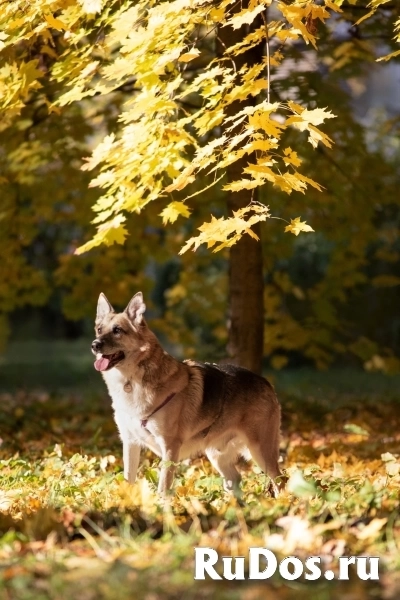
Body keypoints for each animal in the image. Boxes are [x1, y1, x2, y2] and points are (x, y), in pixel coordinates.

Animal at [92, 292, 282, 500]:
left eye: (117, 330)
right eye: (99, 330)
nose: (95, 345)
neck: (131, 381)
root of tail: (265, 382)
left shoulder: (169, 447)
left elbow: (163, 487)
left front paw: (162, 506)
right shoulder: (130, 443)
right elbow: (128, 479)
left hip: (260, 451)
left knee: (280, 480)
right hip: (217, 455)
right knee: (236, 480)